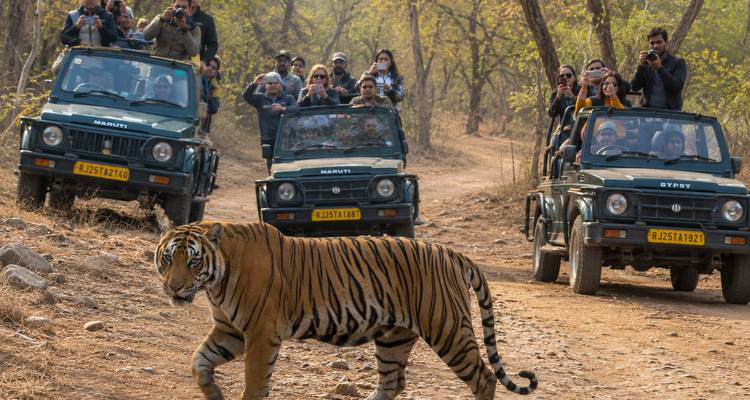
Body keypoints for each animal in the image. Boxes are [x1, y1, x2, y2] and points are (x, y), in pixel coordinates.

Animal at [154, 217, 538, 400]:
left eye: (192, 261)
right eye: (168, 258)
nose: (174, 287)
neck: (215, 282)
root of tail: (453, 253)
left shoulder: (260, 333)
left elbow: (254, 384)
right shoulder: (230, 331)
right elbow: (199, 362)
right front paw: (213, 392)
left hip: (447, 328)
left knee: (484, 377)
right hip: (394, 337)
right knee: (392, 383)